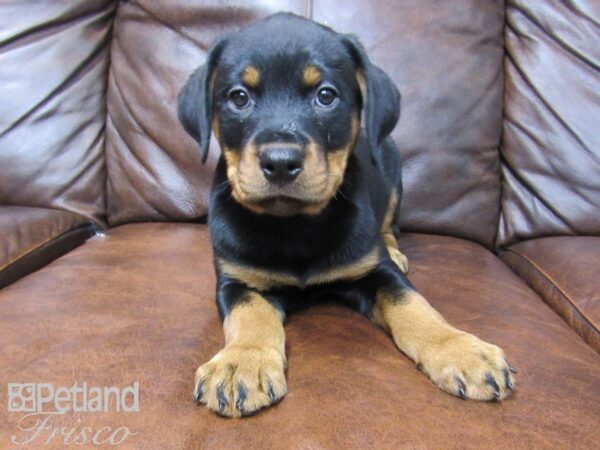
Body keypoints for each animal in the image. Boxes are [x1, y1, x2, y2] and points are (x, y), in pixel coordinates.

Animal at [176, 13, 512, 418]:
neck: (295, 226)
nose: (280, 162)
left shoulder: (375, 271)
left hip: (393, 173)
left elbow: (415, 306)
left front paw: (460, 350)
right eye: (238, 97)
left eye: (326, 95)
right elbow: (249, 315)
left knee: (390, 226)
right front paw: (241, 363)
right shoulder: (237, 279)